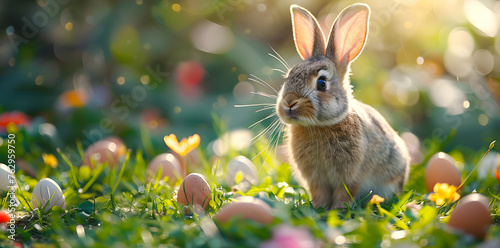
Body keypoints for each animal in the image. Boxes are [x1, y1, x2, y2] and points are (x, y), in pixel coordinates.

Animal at [278, 3, 410, 209]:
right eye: (288, 77)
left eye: (321, 83)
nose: (289, 102)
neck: (319, 126)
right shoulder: (316, 179)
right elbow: (320, 193)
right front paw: (318, 208)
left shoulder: (352, 176)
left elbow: (344, 193)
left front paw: (337, 210)